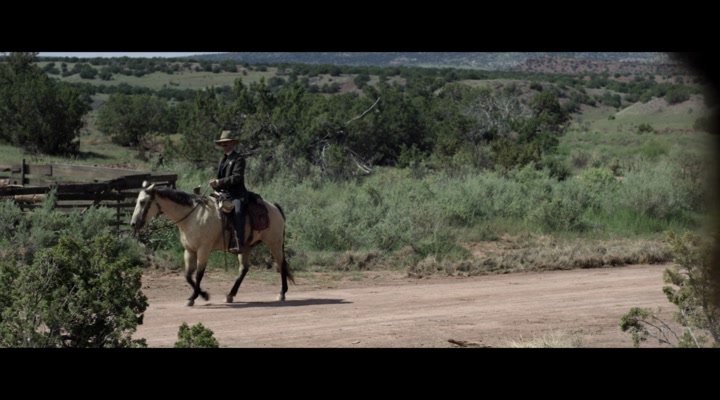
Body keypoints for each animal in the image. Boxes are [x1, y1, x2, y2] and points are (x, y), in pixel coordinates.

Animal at [130, 182, 294, 306]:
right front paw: (202, 295)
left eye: (142, 202)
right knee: (244, 269)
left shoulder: (203, 250)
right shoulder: (189, 250)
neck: (193, 216)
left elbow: (199, 274)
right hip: (245, 248)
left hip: (274, 243)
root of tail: (274, 207)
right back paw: (230, 295)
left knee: (281, 264)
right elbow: (188, 276)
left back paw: (282, 293)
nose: (133, 224)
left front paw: (194, 298)